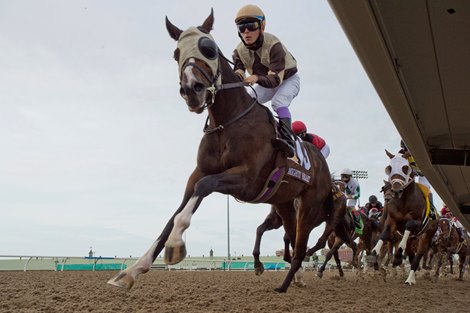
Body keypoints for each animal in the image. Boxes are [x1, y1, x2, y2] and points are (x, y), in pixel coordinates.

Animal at [107, 10, 336, 292]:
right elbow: (173, 216)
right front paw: (131, 270)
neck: (226, 122)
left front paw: (175, 246)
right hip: (283, 202)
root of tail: (323, 162)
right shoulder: (197, 174)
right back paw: (298, 278)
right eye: (176, 53)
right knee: (293, 239)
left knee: (301, 245)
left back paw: (284, 284)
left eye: (210, 49)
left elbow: (204, 187)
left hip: (308, 205)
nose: (191, 90)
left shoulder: (247, 180)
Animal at [370, 150, 436, 284]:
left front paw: (398, 257)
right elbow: (384, 235)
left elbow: (408, 225)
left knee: (417, 258)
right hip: (412, 239)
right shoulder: (391, 221)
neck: (404, 201)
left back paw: (410, 279)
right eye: (389, 168)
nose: (396, 191)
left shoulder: (416, 222)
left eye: (405, 168)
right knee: (411, 256)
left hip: (425, 237)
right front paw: (374, 253)